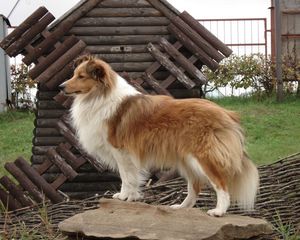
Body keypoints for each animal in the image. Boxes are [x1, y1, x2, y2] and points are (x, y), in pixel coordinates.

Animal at [59, 55, 258, 217]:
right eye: (74, 74)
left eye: (81, 76)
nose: (61, 86)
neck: (100, 95)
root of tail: (227, 113)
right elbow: (131, 177)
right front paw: (131, 197)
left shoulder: (121, 151)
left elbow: (126, 177)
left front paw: (123, 196)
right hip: (187, 160)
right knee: (194, 187)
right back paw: (181, 207)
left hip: (203, 157)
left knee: (221, 184)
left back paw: (218, 211)